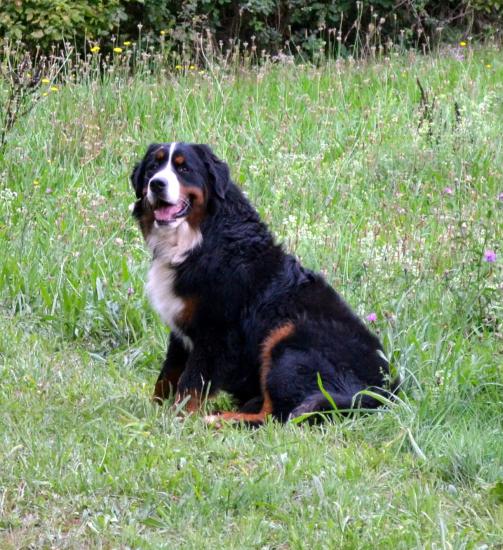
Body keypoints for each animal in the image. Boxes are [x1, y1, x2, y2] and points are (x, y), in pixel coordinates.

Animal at [131, 142, 397, 424]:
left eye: (184, 168)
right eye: (153, 167)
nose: (157, 184)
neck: (200, 238)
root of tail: (386, 391)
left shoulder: (216, 333)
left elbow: (190, 384)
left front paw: (175, 421)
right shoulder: (182, 328)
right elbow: (167, 376)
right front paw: (151, 412)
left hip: (287, 337)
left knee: (275, 416)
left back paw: (216, 420)